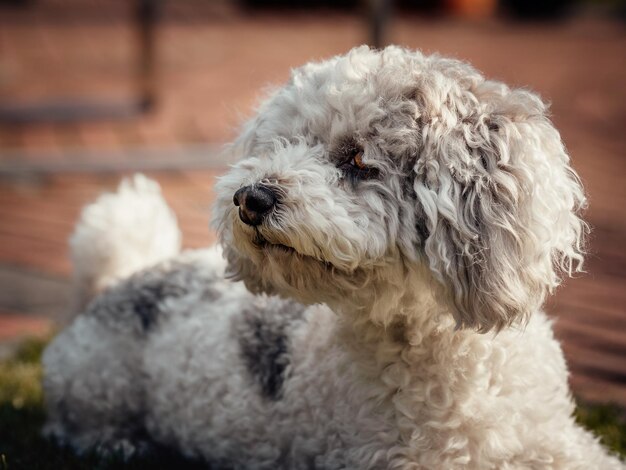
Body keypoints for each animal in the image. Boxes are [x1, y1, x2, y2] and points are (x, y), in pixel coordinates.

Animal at [41, 46, 620, 468]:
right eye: (281, 143)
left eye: (359, 158)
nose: (250, 198)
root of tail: (121, 279)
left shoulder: (557, 442)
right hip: (94, 381)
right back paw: (116, 443)